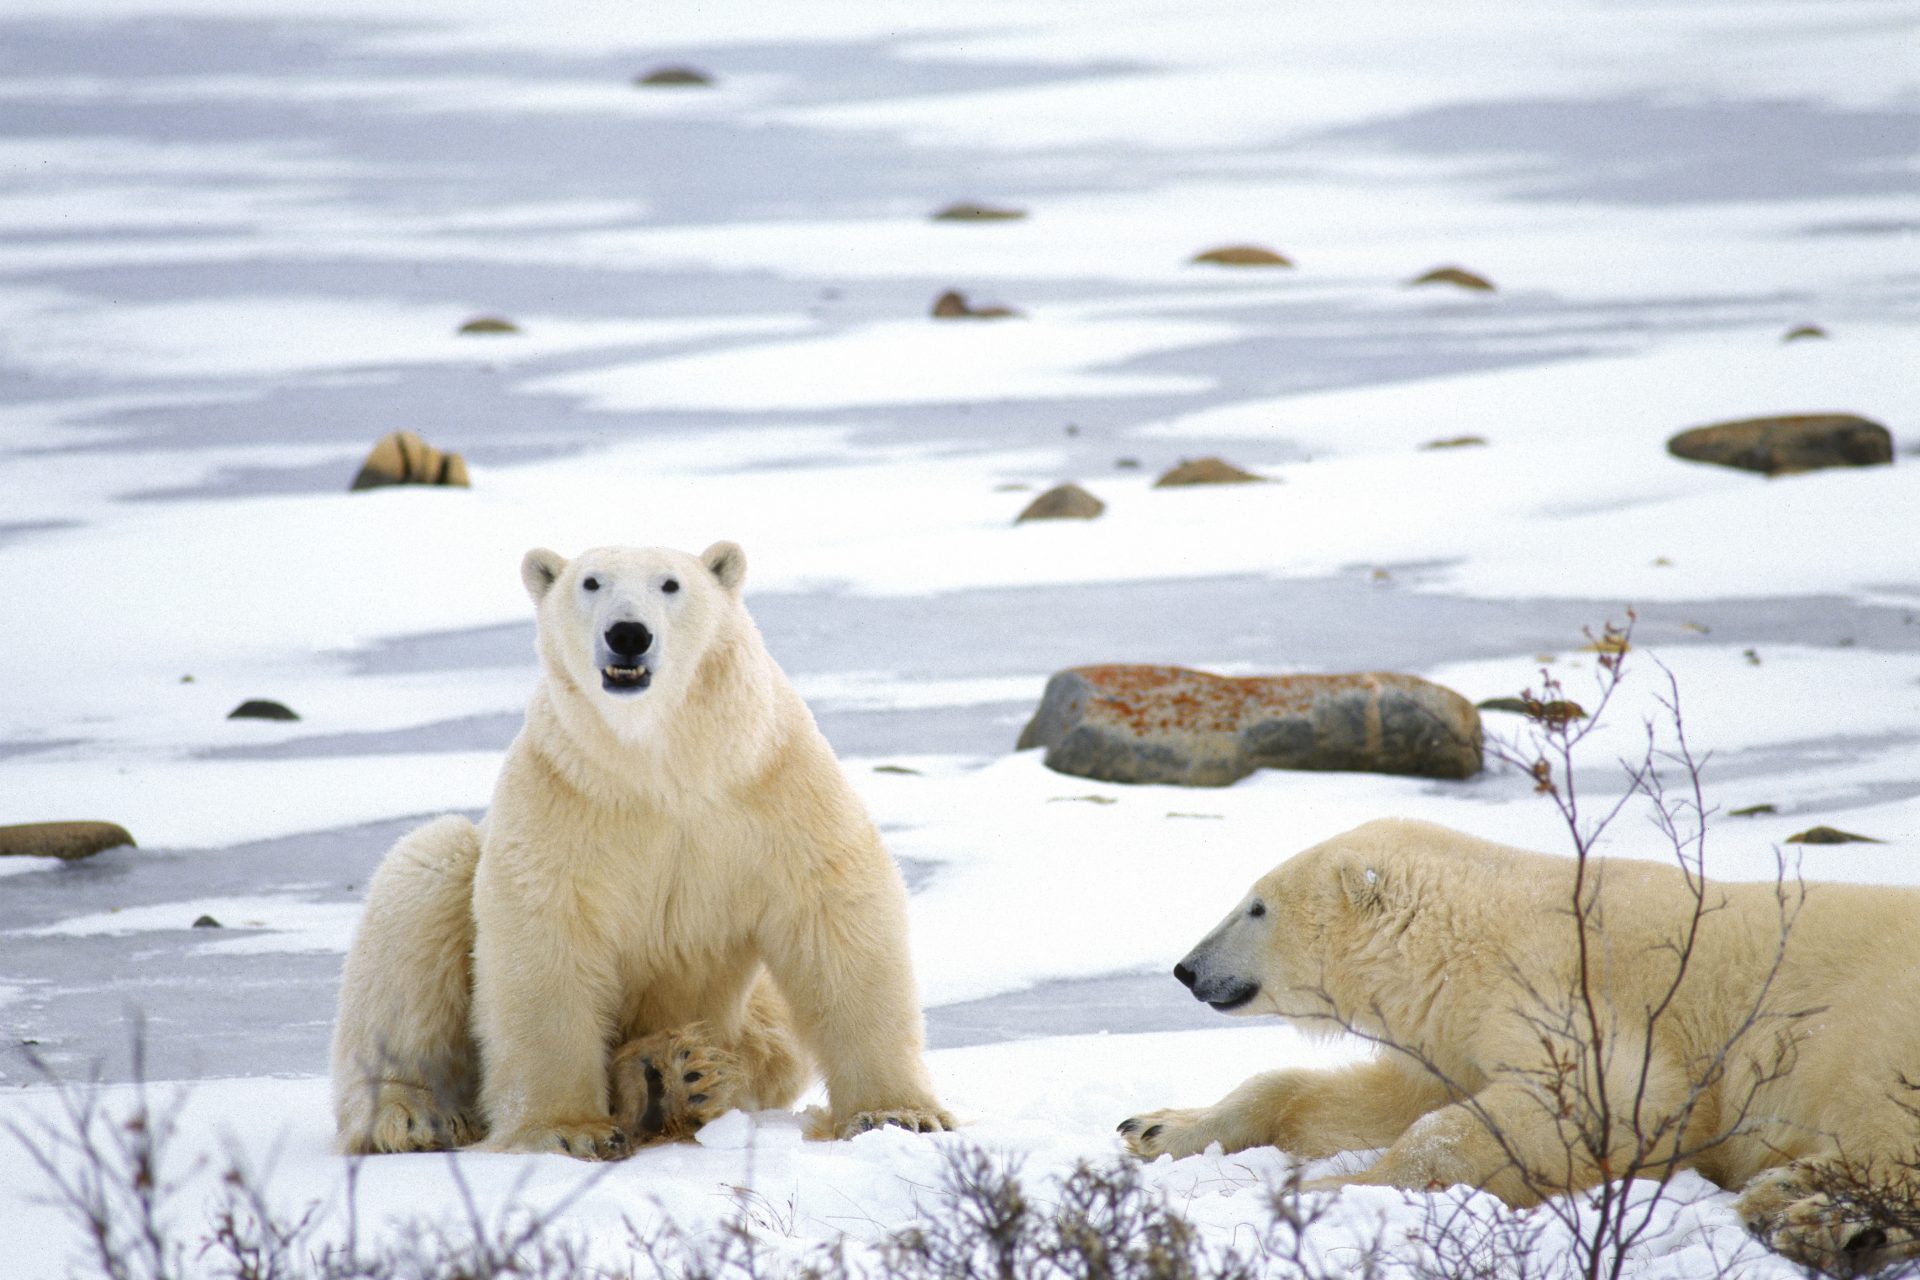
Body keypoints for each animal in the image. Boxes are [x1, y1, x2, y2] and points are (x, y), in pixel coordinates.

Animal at [337, 541, 960, 1159]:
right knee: (424, 884)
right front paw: (569, 1129)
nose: (628, 633)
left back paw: (674, 1077)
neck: (660, 764)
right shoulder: (563, 799)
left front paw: (898, 1114)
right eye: (590, 582)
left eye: (670, 583)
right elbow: (546, 944)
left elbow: (833, 916)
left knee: (769, 1044)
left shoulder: (772, 782)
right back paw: (413, 1115)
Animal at [1121, 821, 1920, 1274]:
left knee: (1877, 1112)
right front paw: (1155, 1127)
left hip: (1873, 1017)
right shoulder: (1457, 1029)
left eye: (1256, 906)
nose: (1187, 968)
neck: (1480, 930)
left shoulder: (1573, 985)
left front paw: (1326, 1192)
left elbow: (1608, 1099)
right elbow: (1380, 1097)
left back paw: (1817, 1217)